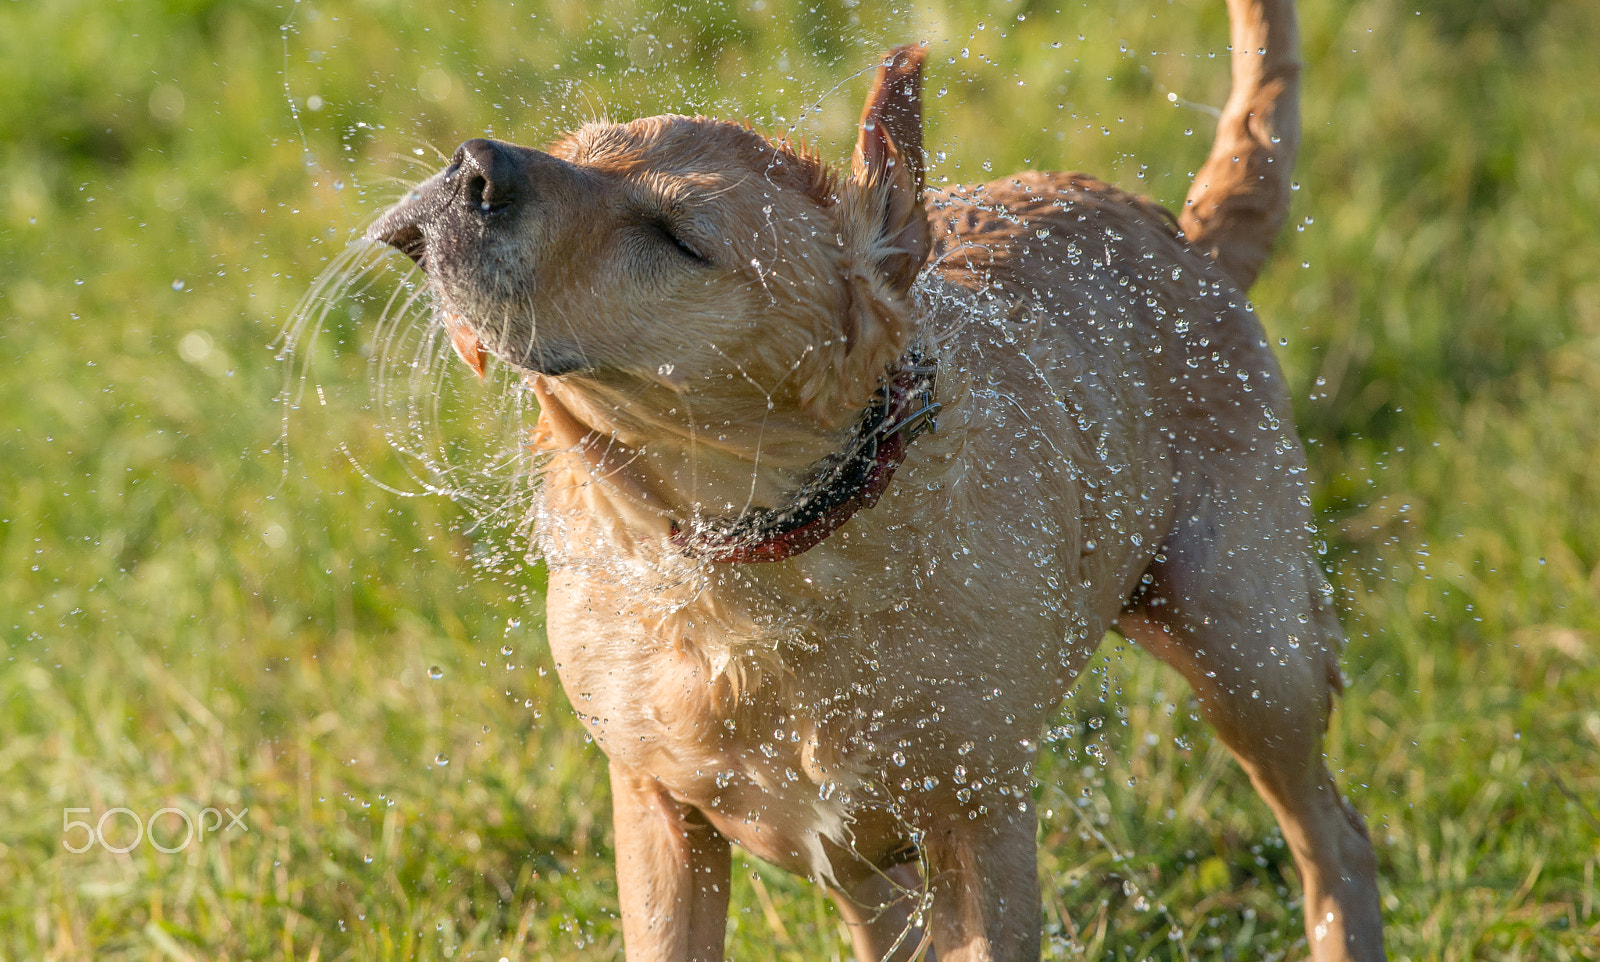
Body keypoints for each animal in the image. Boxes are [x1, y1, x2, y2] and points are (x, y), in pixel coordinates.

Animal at [366, 0, 1388, 953]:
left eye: (678, 237)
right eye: (570, 153)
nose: (472, 165)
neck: (748, 564)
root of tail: (1184, 238)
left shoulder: (978, 816)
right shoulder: (657, 810)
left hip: (1248, 650)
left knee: (1335, 835)